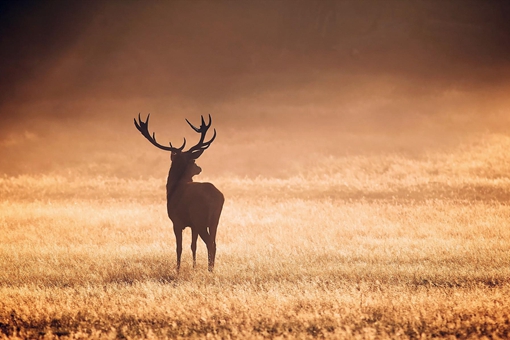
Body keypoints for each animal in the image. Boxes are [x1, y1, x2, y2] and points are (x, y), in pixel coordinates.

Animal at [134, 113, 224, 272]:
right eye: (193, 161)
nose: (199, 168)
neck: (173, 188)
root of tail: (218, 197)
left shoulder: (176, 221)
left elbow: (179, 247)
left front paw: (177, 270)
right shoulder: (193, 225)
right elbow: (193, 246)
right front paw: (194, 267)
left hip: (200, 219)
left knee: (210, 243)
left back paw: (210, 270)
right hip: (215, 220)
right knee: (214, 242)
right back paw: (211, 268)